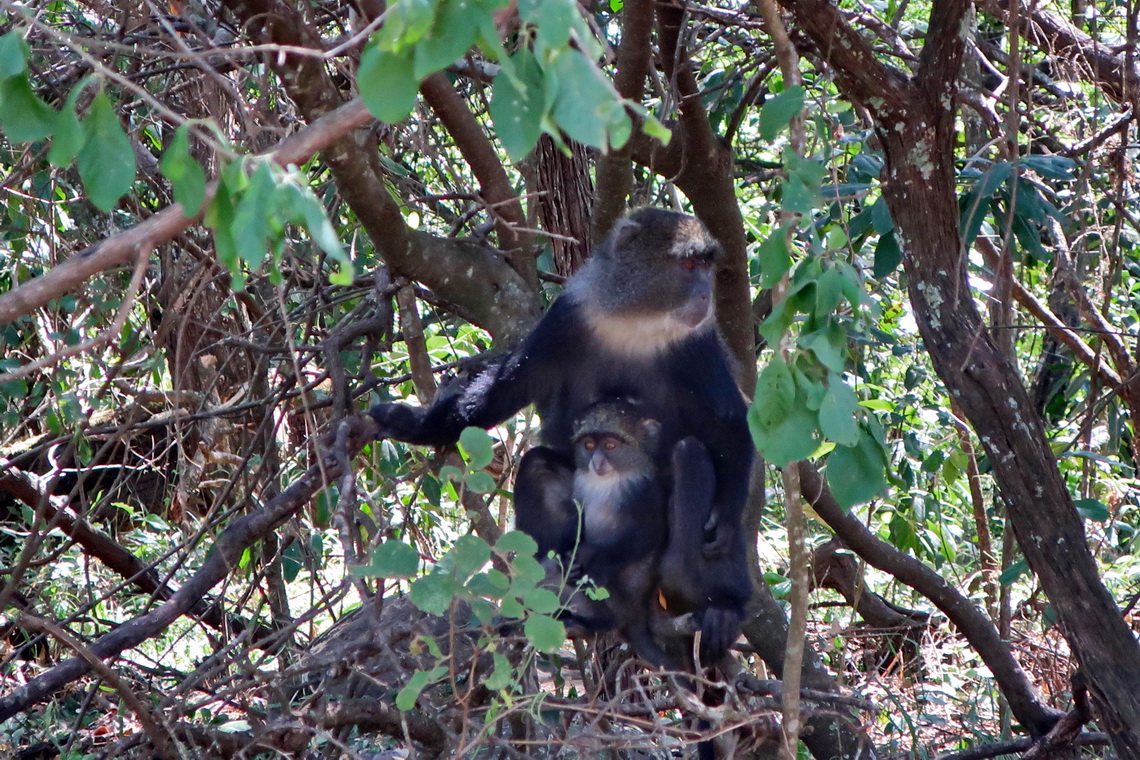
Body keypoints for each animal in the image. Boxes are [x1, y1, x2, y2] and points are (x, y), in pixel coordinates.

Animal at [369, 208, 752, 660]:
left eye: (707, 265)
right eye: (689, 265)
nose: (705, 295)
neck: (638, 318)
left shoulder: (698, 342)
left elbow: (727, 420)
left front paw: (725, 518)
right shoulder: (568, 316)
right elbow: (506, 389)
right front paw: (411, 423)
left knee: (689, 457)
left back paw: (723, 607)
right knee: (537, 465)